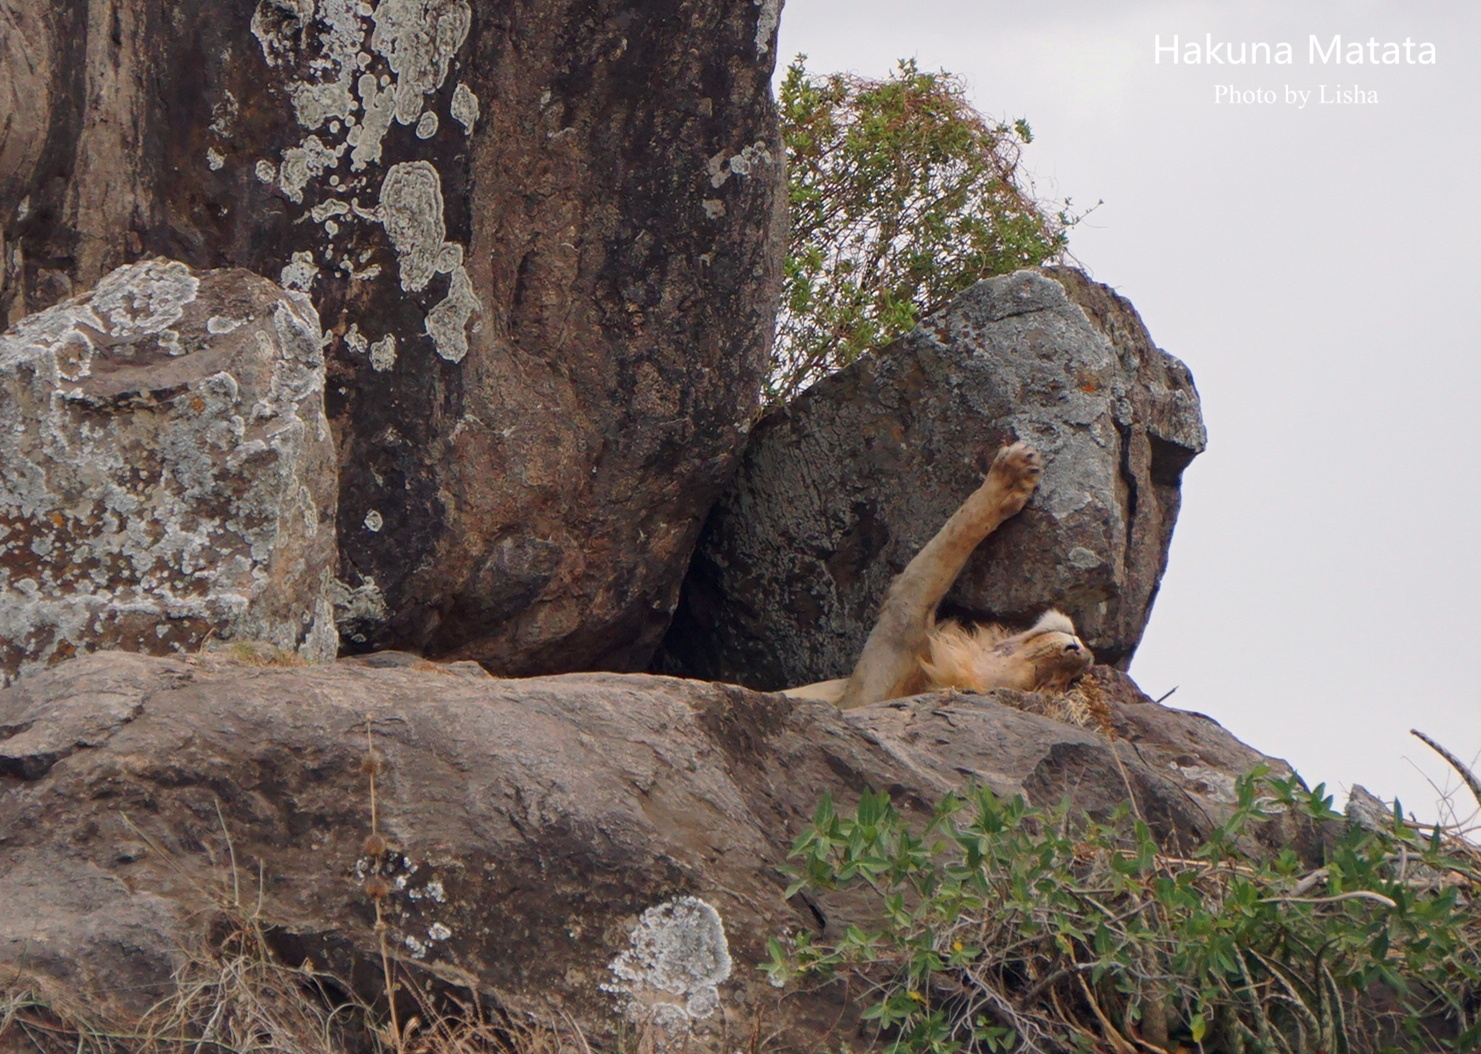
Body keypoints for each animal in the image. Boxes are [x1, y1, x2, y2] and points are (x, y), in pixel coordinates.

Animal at [787, 438, 1090, 707]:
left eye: (1051, 683)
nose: (1079, 654)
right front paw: (1013, 476)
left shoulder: (895, 635)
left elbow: (943, 551)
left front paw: (1009, 479)